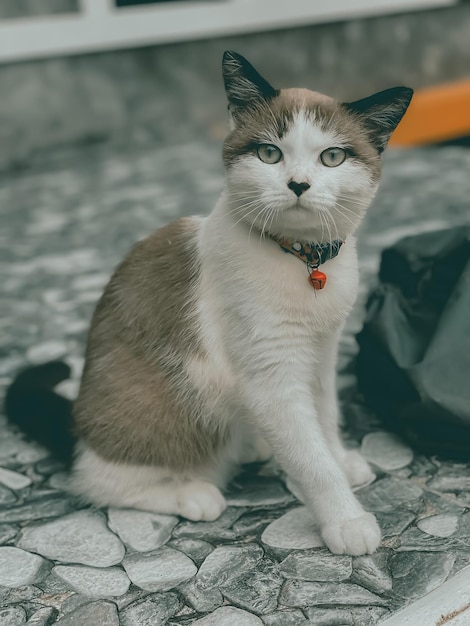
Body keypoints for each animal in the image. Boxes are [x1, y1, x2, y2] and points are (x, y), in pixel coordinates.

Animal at [7, 51, 414, 552]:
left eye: (332, 157)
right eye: (269, 153)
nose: (298, 184)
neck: (303, 260)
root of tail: (78, 426)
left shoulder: (322, 350)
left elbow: (325, 412)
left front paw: (340, 457)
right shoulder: (271, 377)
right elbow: (310, 457)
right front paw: (346, 519)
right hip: (153, 403)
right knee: (97, 481)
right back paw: (191, 493)